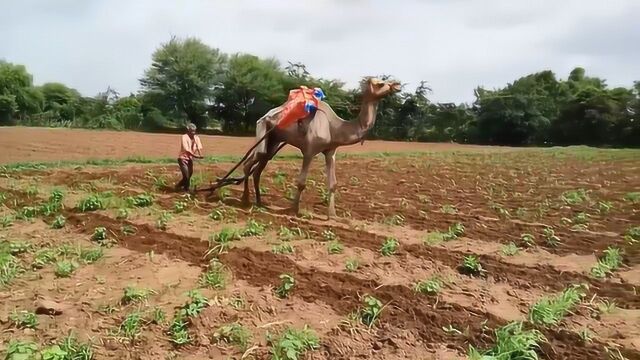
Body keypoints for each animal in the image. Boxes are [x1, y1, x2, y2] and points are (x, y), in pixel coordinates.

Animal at [240, 77, 400, 218]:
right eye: (380, 84)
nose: (396, 85)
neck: (334, 127)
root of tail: (265, 115)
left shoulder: (330, 151)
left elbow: (333, 183)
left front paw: (332, 215)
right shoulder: (309, 150)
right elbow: (301, 182)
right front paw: (294, 210)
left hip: (273, 140)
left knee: (259, 166)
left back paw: (259, 202)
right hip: (262, 128)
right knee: (250, 162)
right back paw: (245, 201)